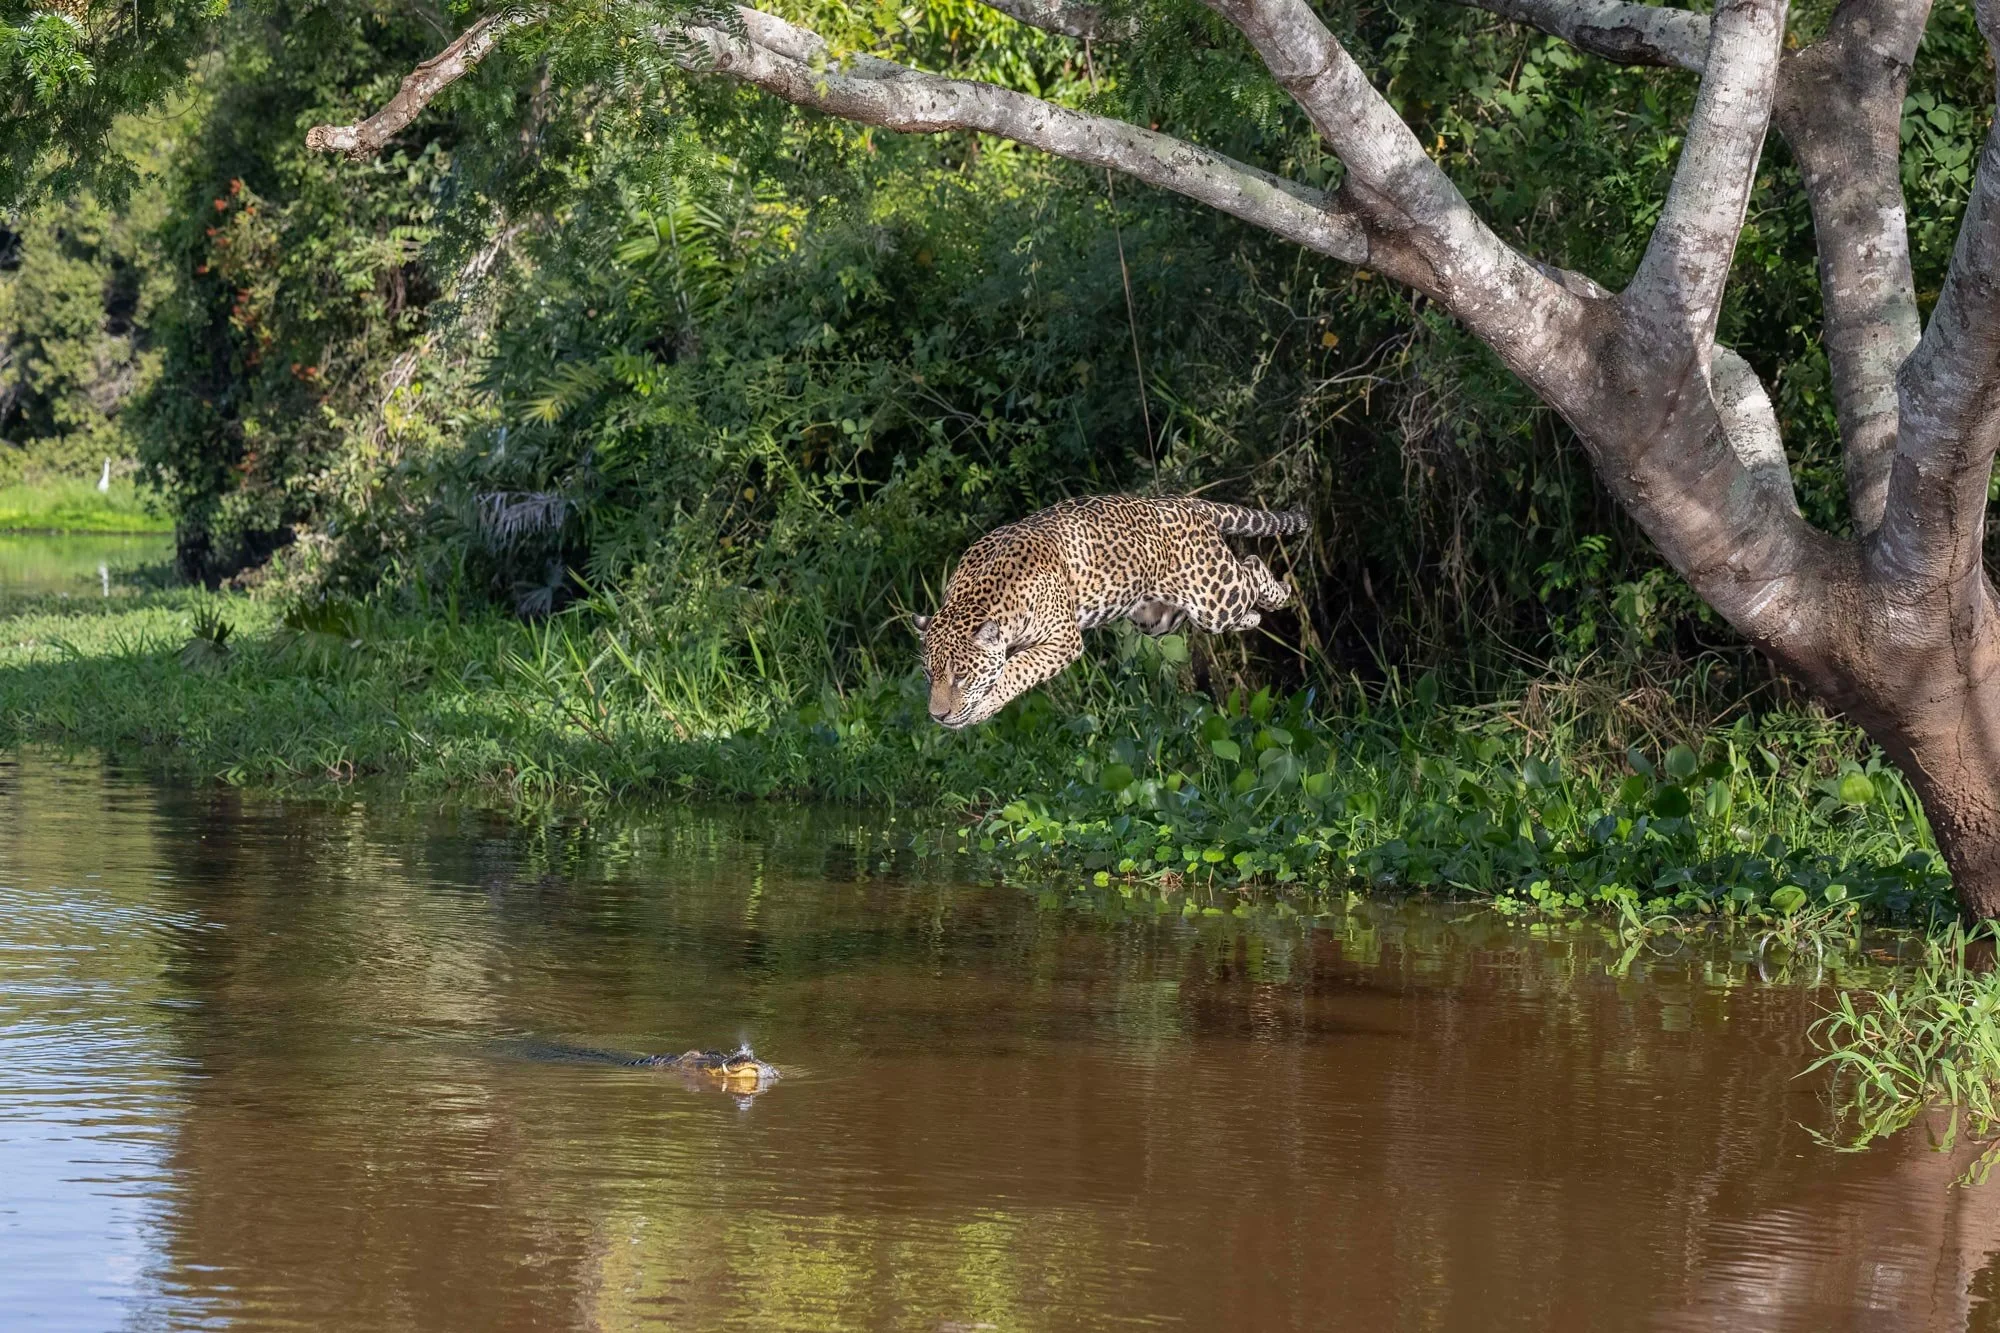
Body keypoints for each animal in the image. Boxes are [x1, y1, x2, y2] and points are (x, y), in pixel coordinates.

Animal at [913, 494, 1309, 728]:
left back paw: (1282, 593)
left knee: (1253, 566)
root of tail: (1185, 501)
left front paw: (983, 705)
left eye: (961, 677)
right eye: (929, 675)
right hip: (1160, 618)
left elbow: (1016, 669)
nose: (937, 716)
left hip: (1214, 595)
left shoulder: (1062, 641)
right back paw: (1255, 616)